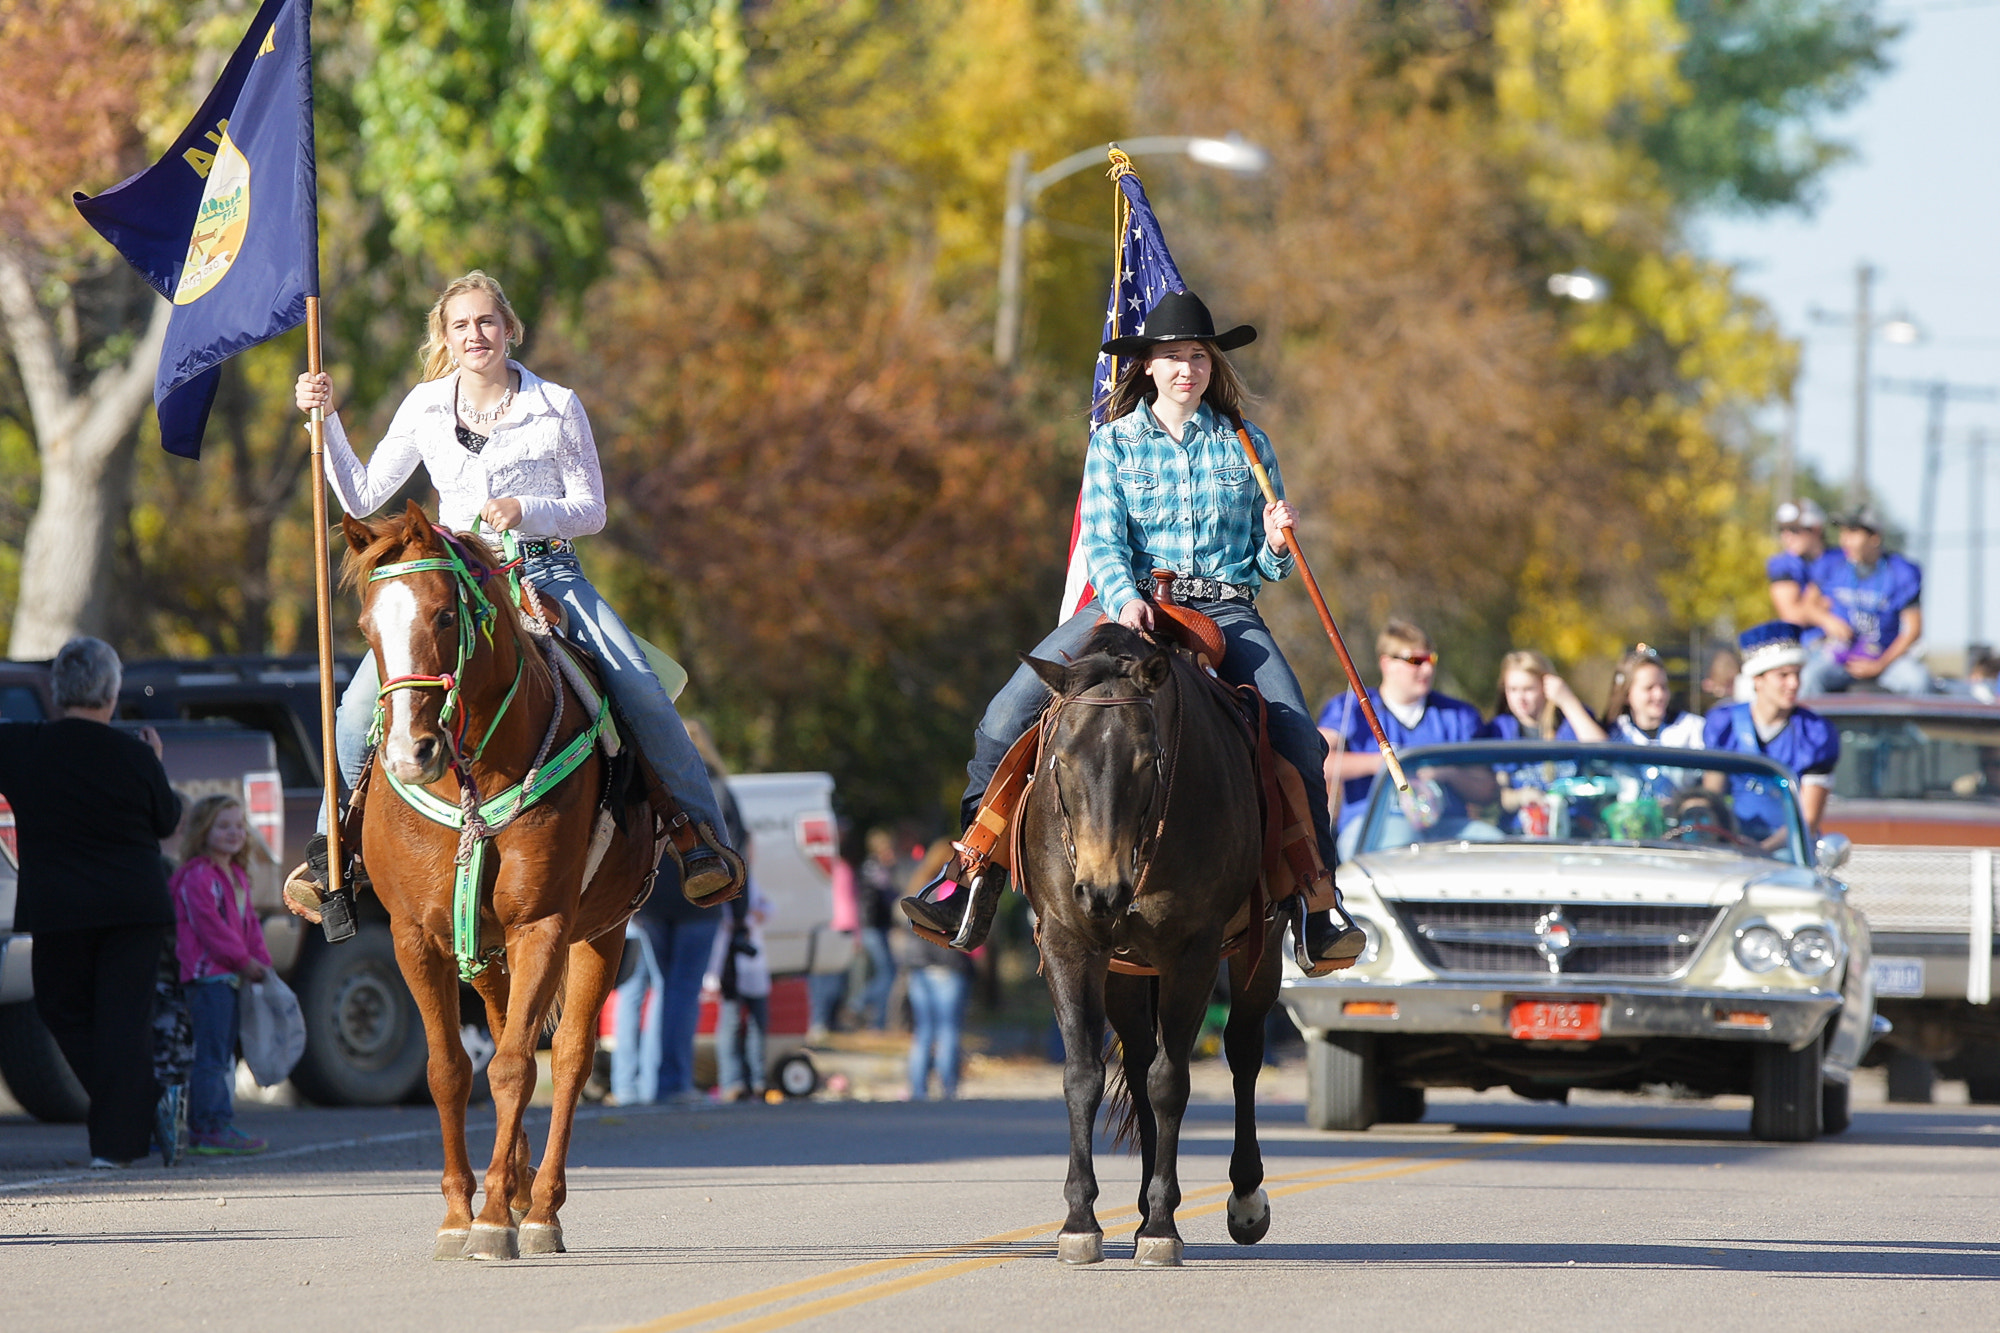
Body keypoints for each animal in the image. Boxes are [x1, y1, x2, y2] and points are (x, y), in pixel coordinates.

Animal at [344, 498, 656, 1256]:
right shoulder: (416, 937)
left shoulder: (542, 923)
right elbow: (448, 1069)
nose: (411, 752)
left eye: (442, 616)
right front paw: (461, 1213)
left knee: (570, 1057)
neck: (473, 779)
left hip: (602, 931)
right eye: (367, 627)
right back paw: (513, 1189)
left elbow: (516, 1064)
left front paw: (491, 1221)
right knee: (502, 1025)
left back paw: (538, 1206)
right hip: (485, 951)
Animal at [1024, 616, 1288, 1264]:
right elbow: (1082, 1077)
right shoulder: (1069, 943)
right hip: (1125, 974)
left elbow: (1173, 1082)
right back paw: (1141, 1208)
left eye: (1148, 760)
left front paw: (1165, 1227)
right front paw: (1080, 1221)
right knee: (1139, 1060)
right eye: (1061, 759)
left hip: (1260, 952)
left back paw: (1242, 1198)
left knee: (1242, 1052)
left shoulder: (1193, 954)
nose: (1101, 889)